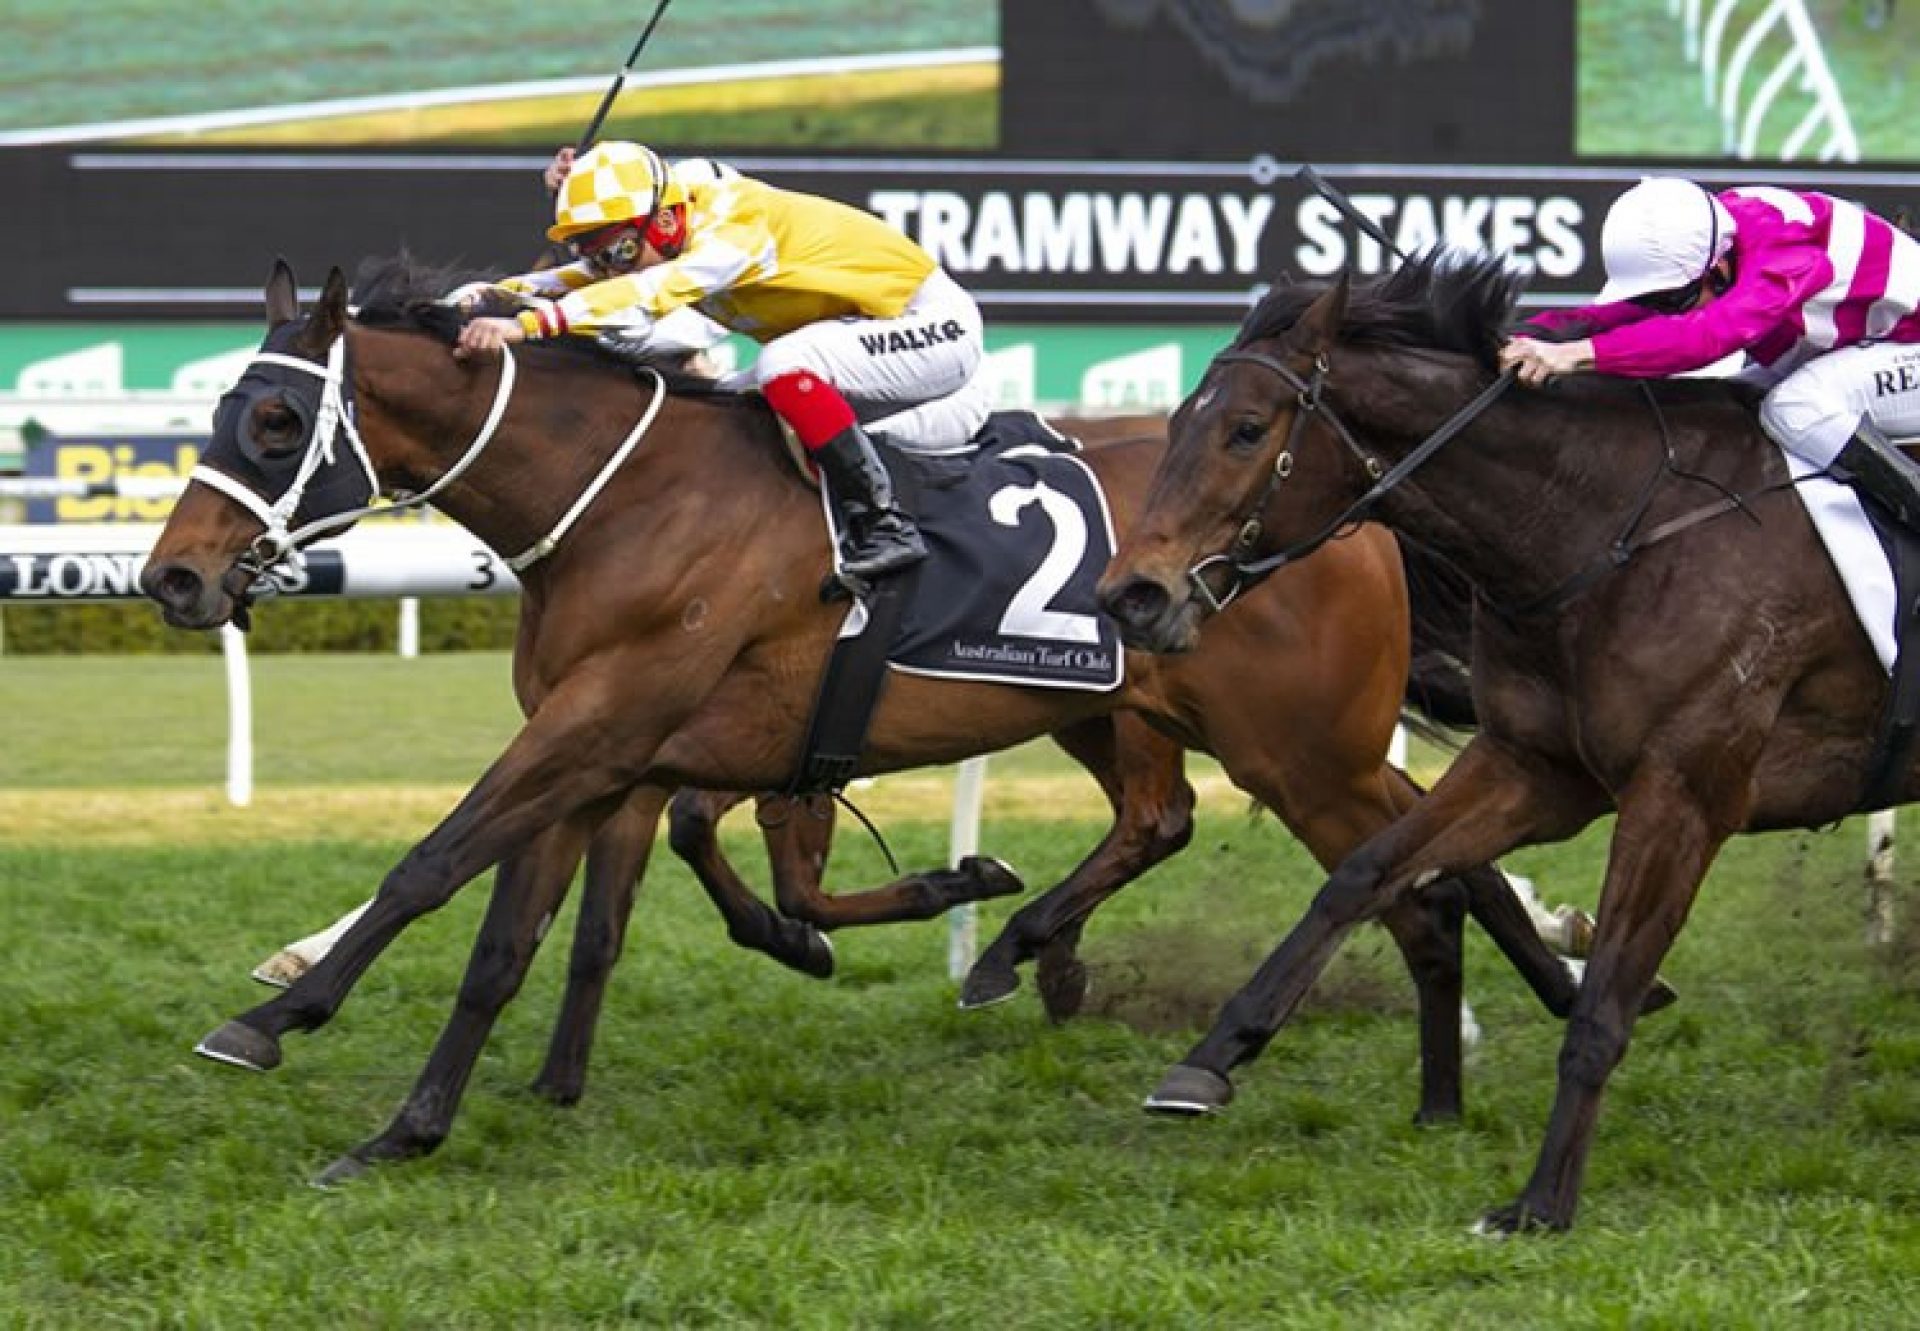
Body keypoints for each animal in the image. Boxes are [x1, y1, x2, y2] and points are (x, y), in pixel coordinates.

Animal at [145, 253, 1589, 1175]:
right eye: (219, 407)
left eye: (274, 420)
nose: (174, 576)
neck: (624, 498)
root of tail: (1357, 516)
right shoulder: (599, 750)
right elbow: (513, 937)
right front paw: (411, 1126)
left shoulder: (597, 732)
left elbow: (430, 864)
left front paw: (272, 1022)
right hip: (1152, 715)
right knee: (1314, 838)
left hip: (1301, 747)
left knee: (1408, 874)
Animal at [1098, 243, 1904, 1229]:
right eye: (1178, 420)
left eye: (1247, 430)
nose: (1132, 595)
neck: (1605, 528)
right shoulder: (1534, 766)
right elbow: (1363, 874)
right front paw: (1208, 1059)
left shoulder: (1682, 793)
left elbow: (1603, 1004)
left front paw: (1540, 1202)